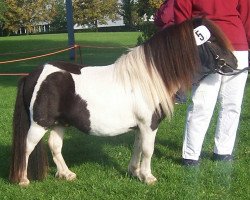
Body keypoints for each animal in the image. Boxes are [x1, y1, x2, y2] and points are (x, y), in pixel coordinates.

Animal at [9, 18, 236, 186]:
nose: (234, 62)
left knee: (55, 146)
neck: (148, 78)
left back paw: (67, 174)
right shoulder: (149, 125)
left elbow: (137, 148)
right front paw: (149, 177)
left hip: (59, 123)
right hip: (39, 124)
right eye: (212, 41)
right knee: (27, 147)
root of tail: (32, 75)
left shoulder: (140, 127)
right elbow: (148, 150)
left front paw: (135, 172)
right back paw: (23, 180)